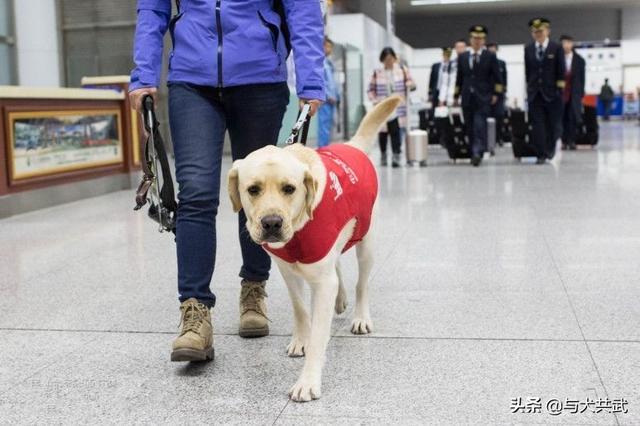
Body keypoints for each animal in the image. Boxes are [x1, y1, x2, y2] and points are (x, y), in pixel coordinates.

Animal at [228, 95, 400, 402]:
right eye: (253, 189)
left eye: (289, 188)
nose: (271, 223)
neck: (298, 228)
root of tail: (352, 145)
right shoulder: (288, 269)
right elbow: (300, 309)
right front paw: (301, 340)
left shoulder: (321, 280)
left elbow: (320, 334)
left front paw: (308, 381)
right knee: (338, 267)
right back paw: (340, 298)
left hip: (366, 243)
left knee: (362, 283)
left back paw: (360, 316)